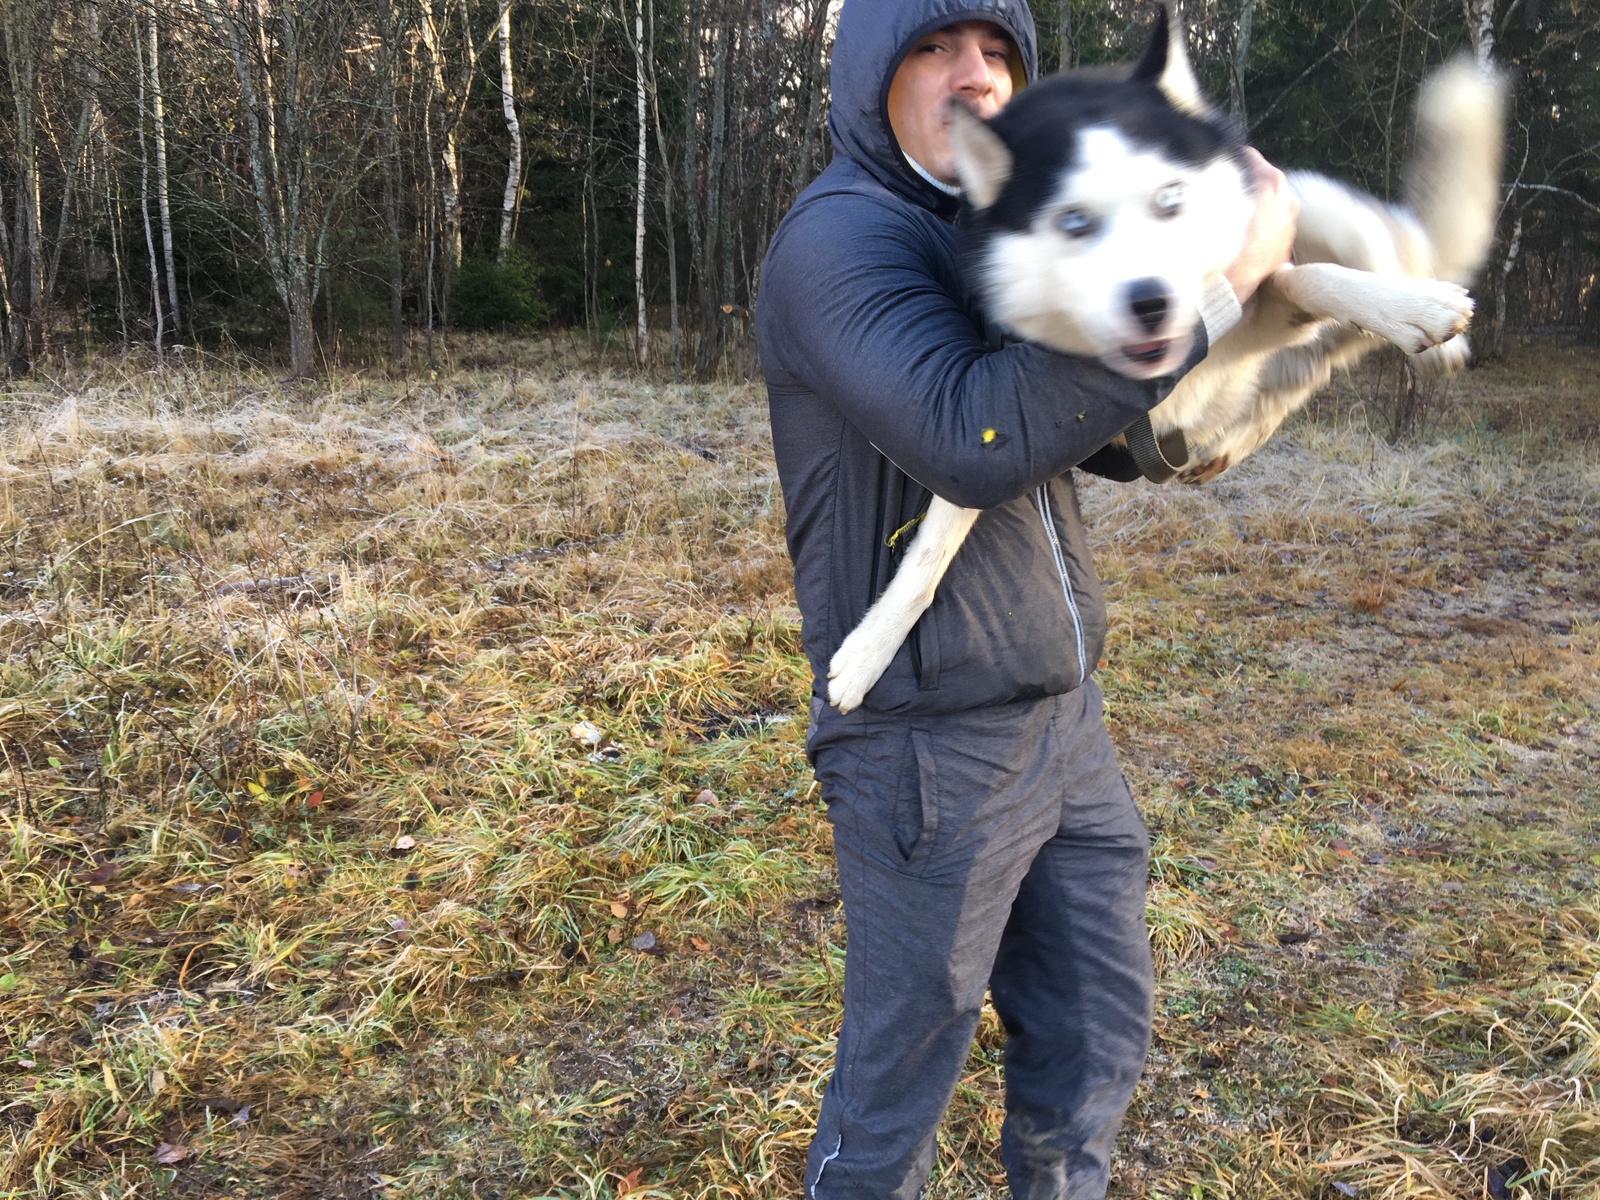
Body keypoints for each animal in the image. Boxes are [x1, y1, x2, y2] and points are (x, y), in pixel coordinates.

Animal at [832, 7, 1504, 713]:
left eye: (1170, 199)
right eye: (1074, 221)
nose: (1152, 301)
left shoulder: (1259, 292)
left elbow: (1311, 278)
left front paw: (1414, 311)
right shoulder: (995, 432)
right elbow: (934, 543)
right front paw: (869, 651)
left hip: (1310, 201)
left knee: (1387, 254)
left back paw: (1423, 312)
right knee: (1302, 371)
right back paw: (1234, 436)